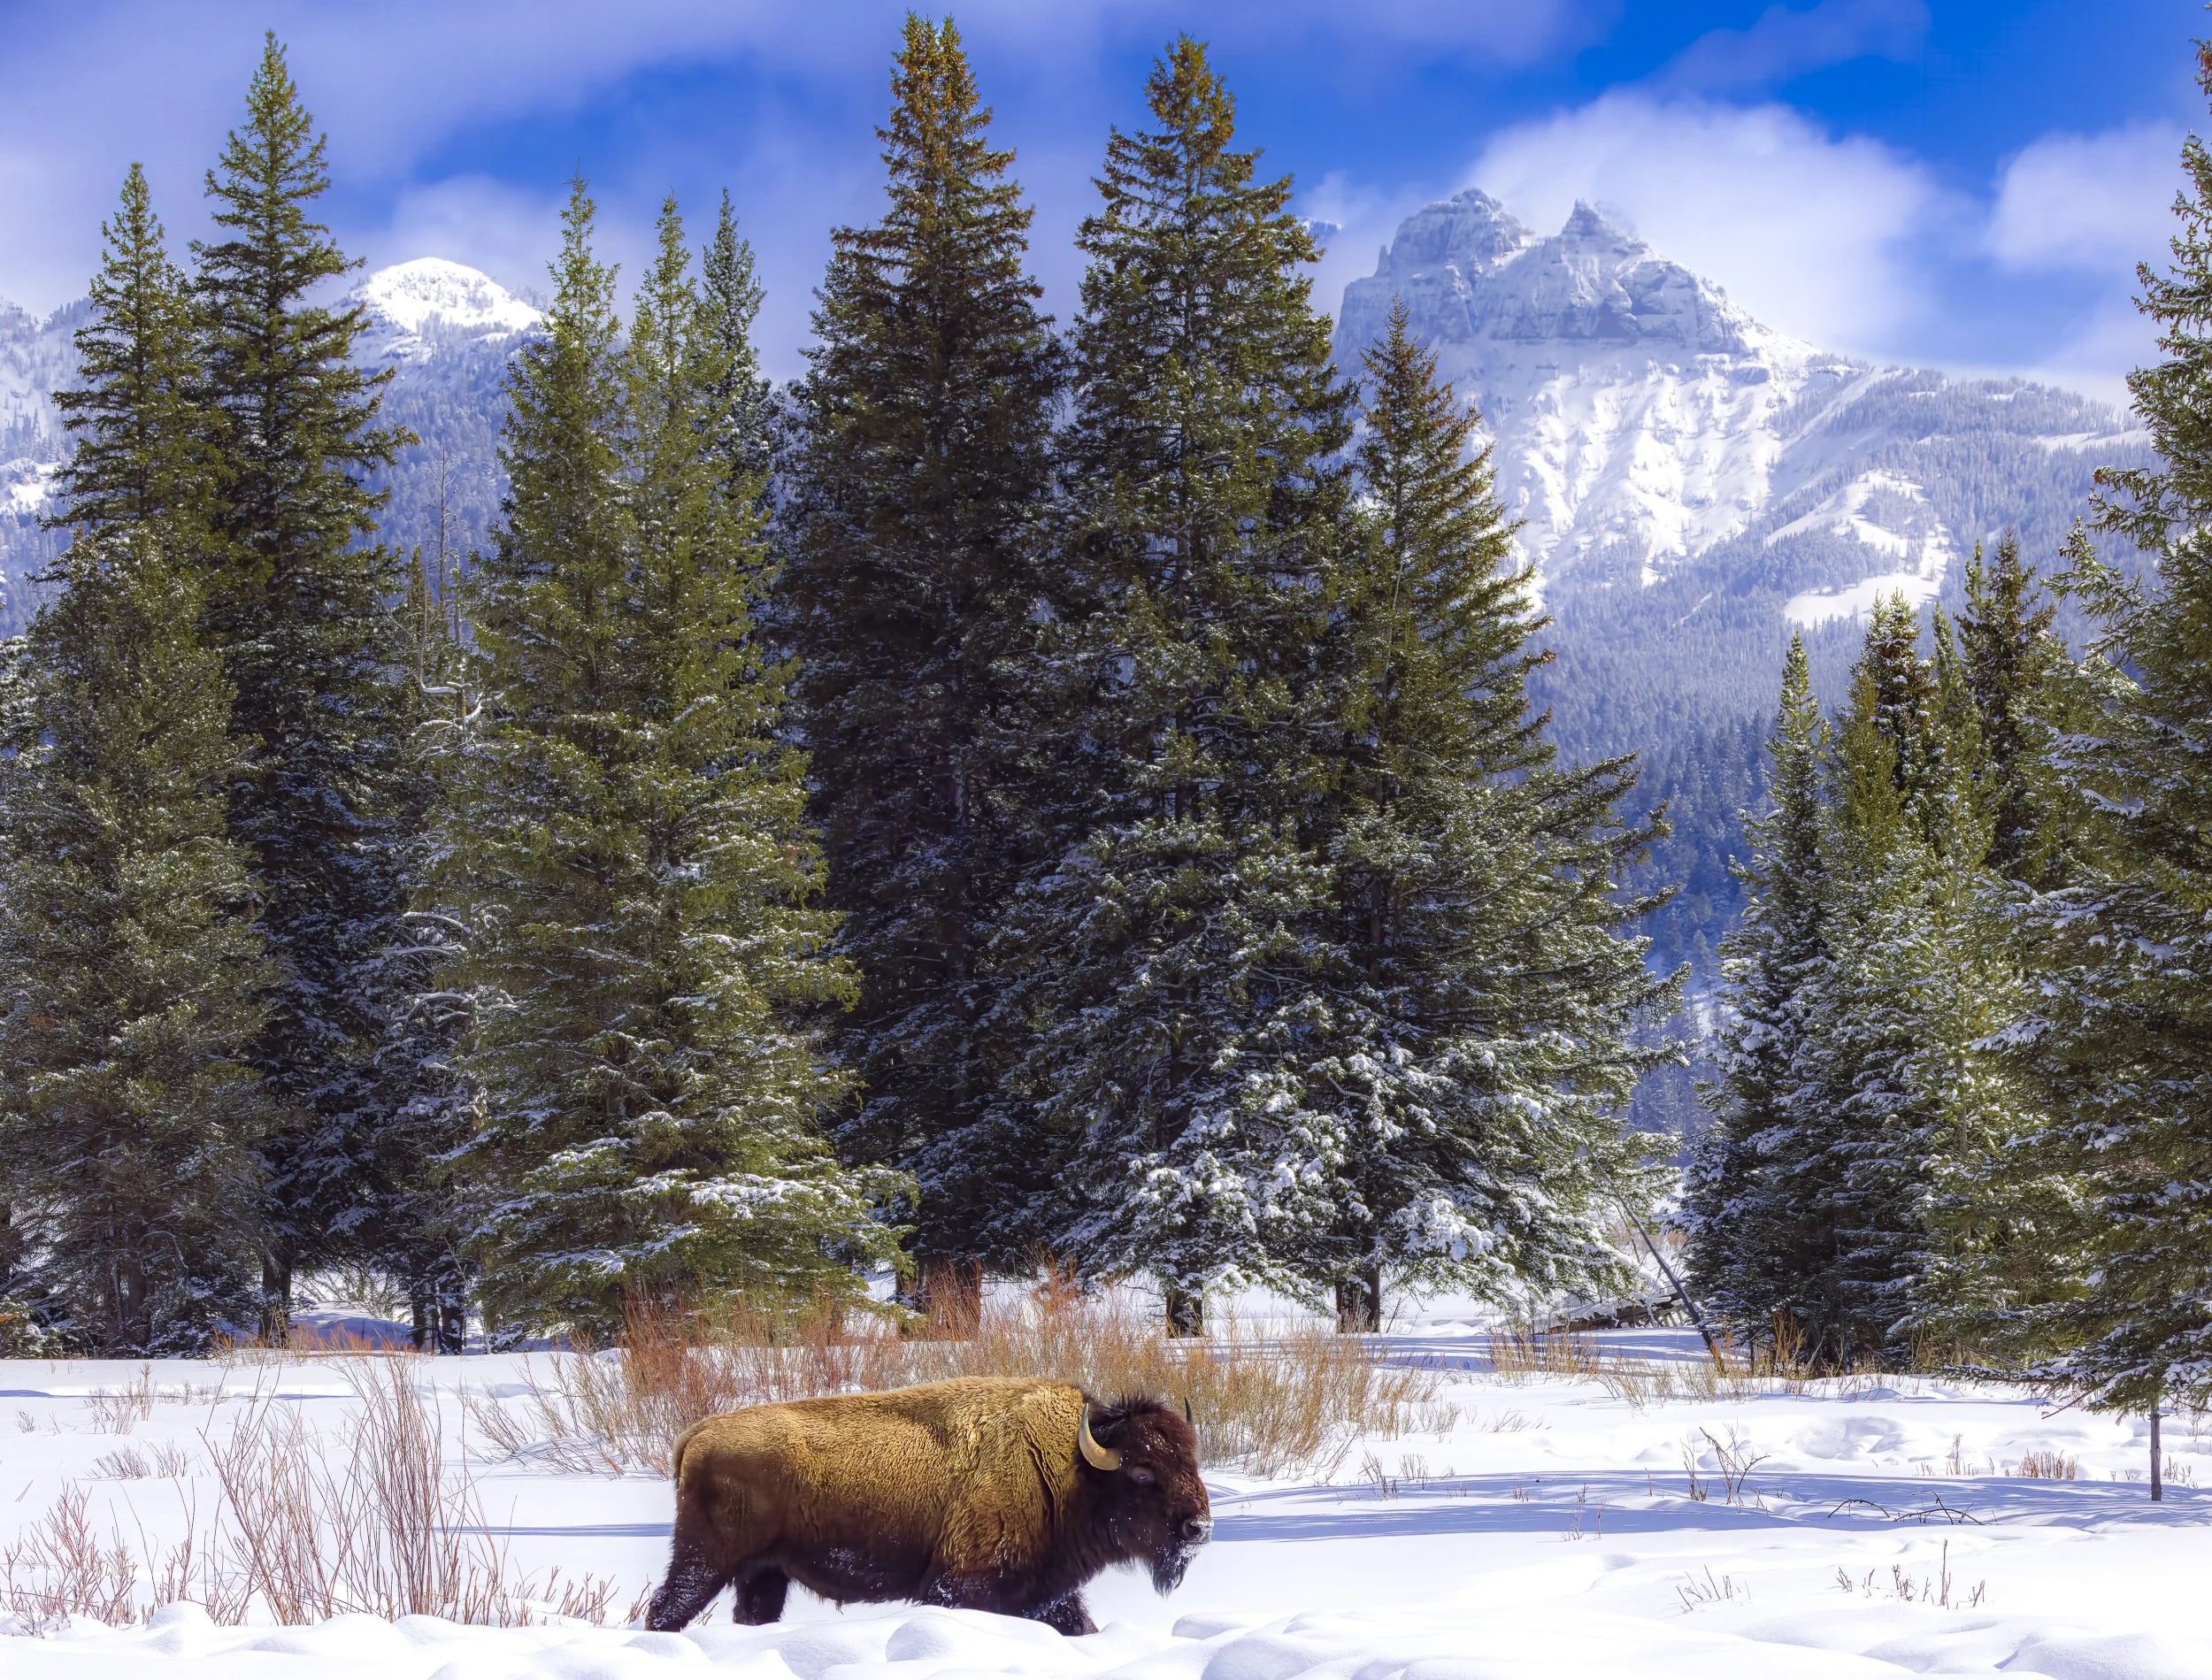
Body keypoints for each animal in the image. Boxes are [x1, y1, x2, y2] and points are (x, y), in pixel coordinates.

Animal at [644, 1375, 1212, 1635]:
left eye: (1192, 1460)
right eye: (1143, 1472)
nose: (1199, 1529)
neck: (1068, 1466)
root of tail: (697, 1433)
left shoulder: (1044, 1590)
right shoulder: (962, 1584)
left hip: (764, 1572)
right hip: (707, 1559)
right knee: (667, 1607)